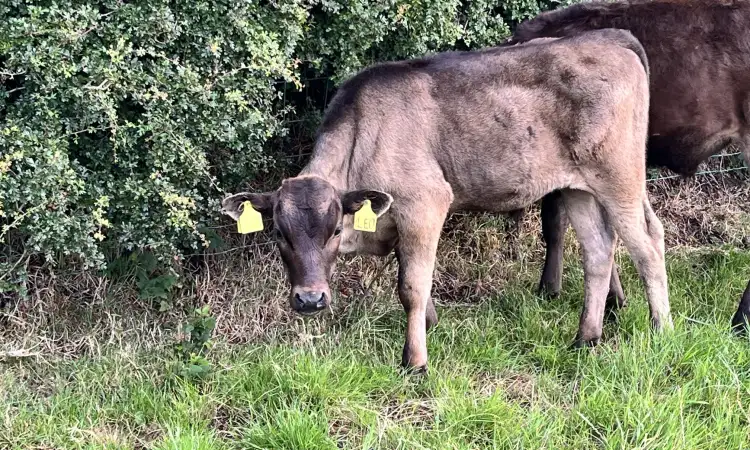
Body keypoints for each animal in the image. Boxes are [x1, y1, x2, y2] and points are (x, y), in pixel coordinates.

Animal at [221, 29, 669, 371]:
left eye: (333, 230)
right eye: (279, 233)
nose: (310, 300)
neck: (362, 139)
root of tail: (609, 40)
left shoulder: (425, 204)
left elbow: (411, 286)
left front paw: (415, 360)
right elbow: (414, 280)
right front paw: (430, 325)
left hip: (618, 176)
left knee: (647, 245)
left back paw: (661, 328)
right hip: (577, 187)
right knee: (598, 251)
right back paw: (586, 337)